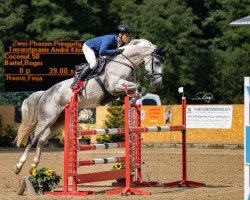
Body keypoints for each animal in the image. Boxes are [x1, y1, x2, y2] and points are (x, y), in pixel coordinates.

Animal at [13, 38, 166, 174]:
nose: (158, 83)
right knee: (33, 138)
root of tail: (45, 93)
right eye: (157, 62)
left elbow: (141, 90)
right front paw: (132, 101)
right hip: (47, 119)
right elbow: (139, 87)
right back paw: (18, 166)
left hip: (57, 121)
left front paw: (133, 102)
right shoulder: (114, 85)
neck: (124, 62)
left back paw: (33, 166)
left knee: (42, 141)